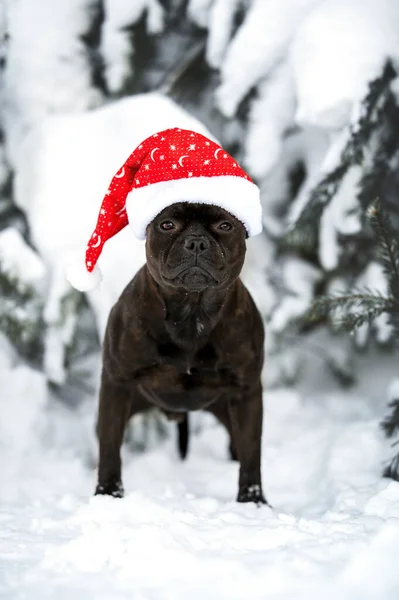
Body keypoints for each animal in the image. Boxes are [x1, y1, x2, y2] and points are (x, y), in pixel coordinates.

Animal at [95, 203, 268, 506]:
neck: (191, 313)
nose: (196, 242)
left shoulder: (246, 392)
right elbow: (110, 448)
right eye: (167, 225)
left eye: (225, 225)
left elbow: (251, 453)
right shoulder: (117, 384)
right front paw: (107, 495)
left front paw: (253, 502)